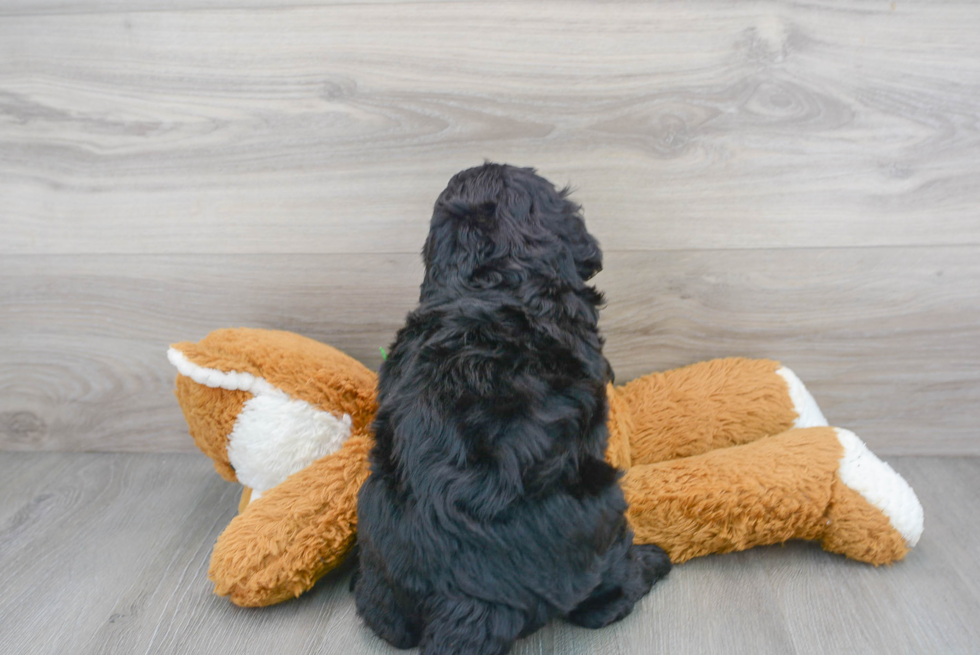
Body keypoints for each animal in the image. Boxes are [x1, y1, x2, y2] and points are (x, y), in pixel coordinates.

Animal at [356, 161, 668, 652]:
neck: (486, 279)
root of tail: (465, 601)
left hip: (374, 522)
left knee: (385, 619)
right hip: (602, 511)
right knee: (602, 602)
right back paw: (654, 561)